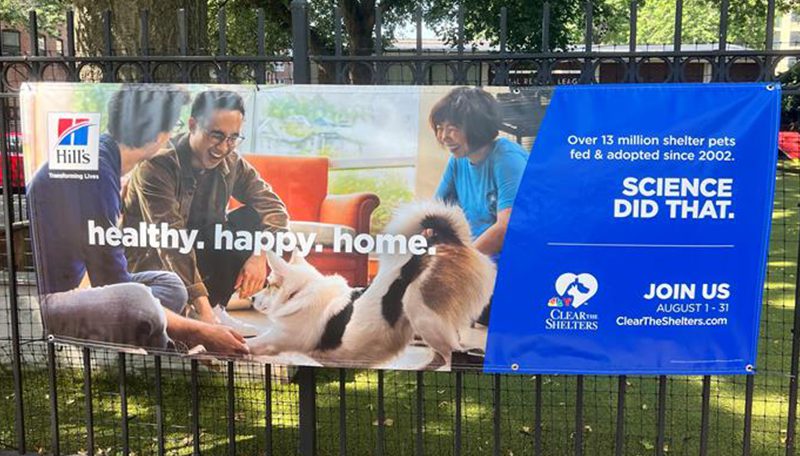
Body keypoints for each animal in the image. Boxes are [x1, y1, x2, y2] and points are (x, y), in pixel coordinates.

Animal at [245, 201, 494, 368]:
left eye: (268, 284)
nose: (252, 297)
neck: (301, 291)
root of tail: (439, 239)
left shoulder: (276, 339)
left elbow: (251, 344)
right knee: (442, 357)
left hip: (424, 316)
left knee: (454, 355)